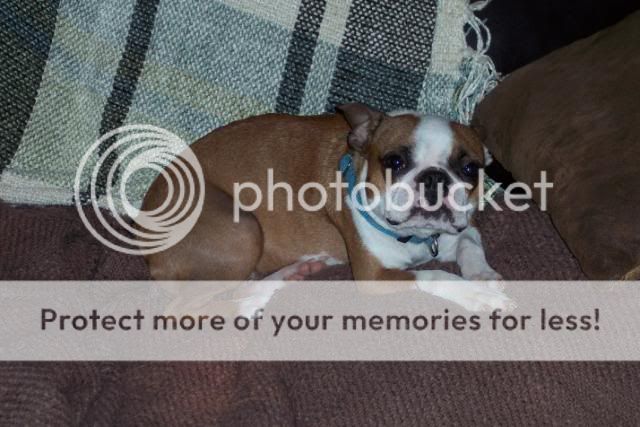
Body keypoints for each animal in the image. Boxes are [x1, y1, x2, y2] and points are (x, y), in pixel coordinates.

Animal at [142, 103, 515, 313]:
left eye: (470, 169)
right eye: (395, 161)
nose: (434, 177)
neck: (416, 237)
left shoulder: (456, 231)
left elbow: (470, 243)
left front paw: (482, 275)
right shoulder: (374, 276)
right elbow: (435, 274)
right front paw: (477, 294)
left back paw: (287, 275)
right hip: (242, 230)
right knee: (183, 311)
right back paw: (250, 304)